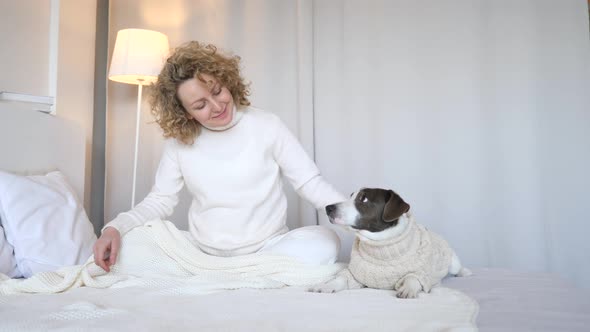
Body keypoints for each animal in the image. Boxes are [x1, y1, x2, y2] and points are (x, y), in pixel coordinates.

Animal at [310, 187, 472, 298]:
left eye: (364, 199)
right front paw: (328, 284)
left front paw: (408, 288)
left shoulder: (422, 273)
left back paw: (465, 271)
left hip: (452, 262)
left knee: (457, 267)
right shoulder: (357, 273)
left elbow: (413, 277)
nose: (328, 208)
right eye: (351, 196)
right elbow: (343, 278)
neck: (382, 246)